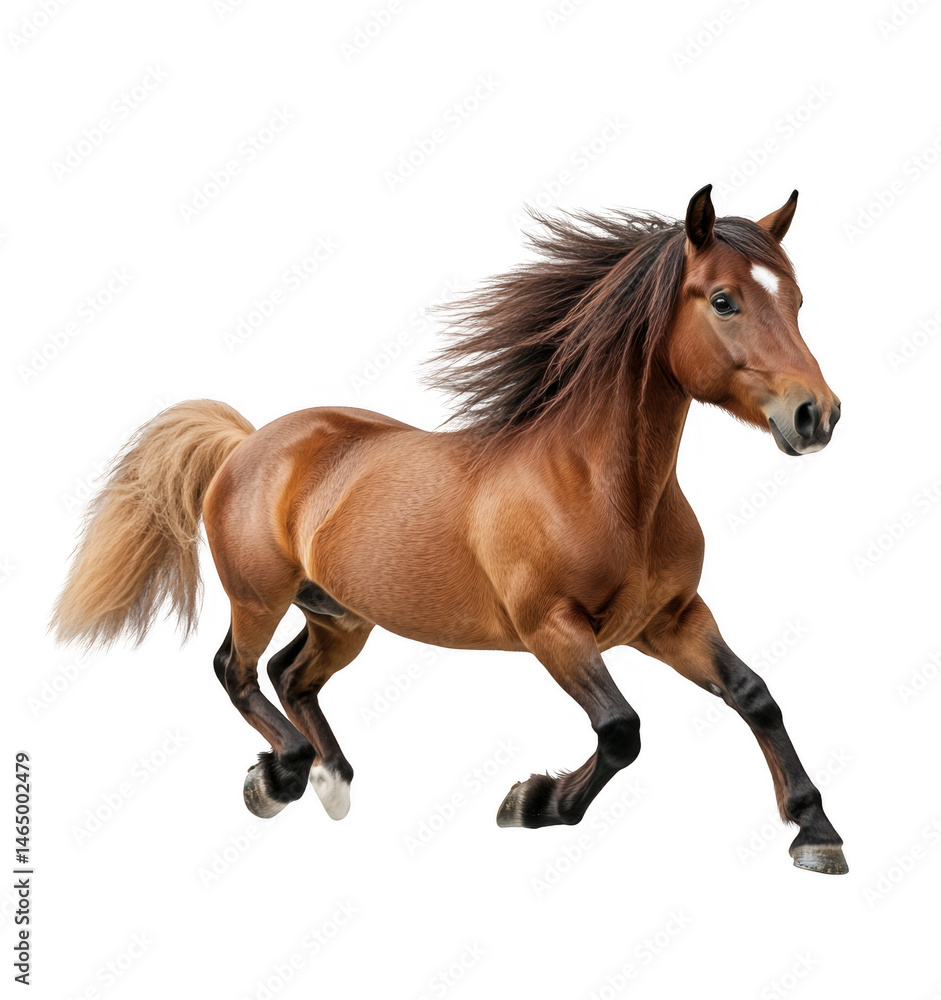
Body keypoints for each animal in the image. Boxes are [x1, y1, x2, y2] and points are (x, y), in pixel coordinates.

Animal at [52, 184, 848, 874]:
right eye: (723, 301)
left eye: (798, 301)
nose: (817, 415)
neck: (606, 491)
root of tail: (248, 442)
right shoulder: (551, 628)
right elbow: (622, 729)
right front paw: (533, 802)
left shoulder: (671, 620)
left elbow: (753, 694)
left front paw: (816, 832)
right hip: (258, 597)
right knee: (236, 671)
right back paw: (278, 778)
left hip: (341, 617)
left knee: (289, 674)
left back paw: (332, 778)